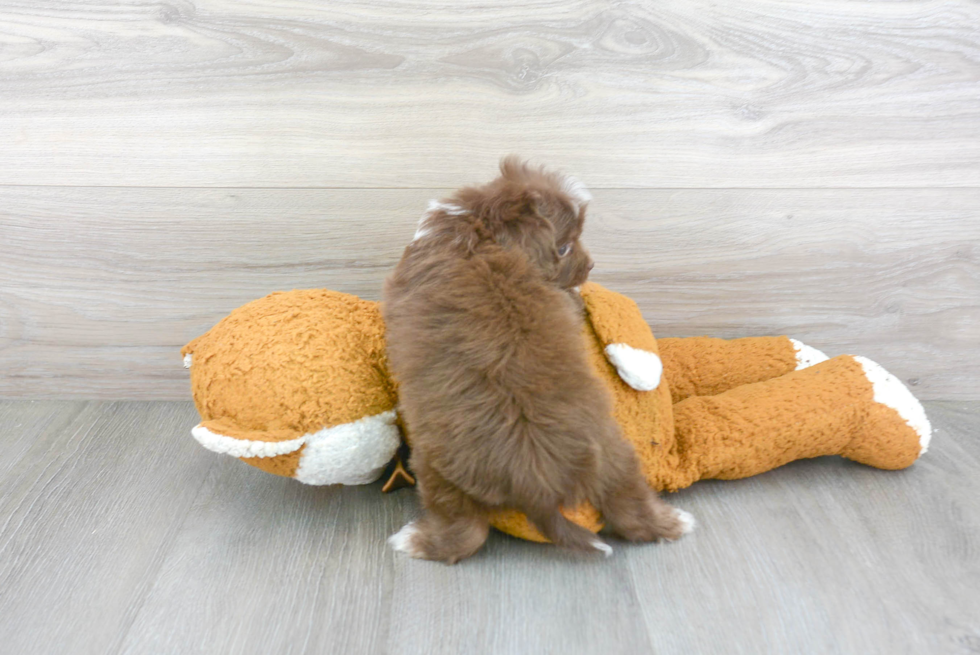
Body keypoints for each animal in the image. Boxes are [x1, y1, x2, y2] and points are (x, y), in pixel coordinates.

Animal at [378, 159, 692, 564]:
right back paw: (672, 524)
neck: (479, 231)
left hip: (436, 470)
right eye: (564, 246)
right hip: (616, 455)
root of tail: (537, 486)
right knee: (629, 505)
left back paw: (415, 542)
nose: (592, 266)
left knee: (464, 531)